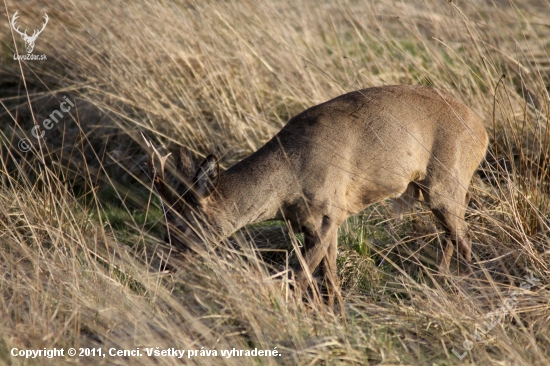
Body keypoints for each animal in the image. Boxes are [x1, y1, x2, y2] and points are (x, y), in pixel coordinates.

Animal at [143, 85, 492, 304]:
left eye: (183, 225)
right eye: (164, 224)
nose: (164, 266)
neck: (285, 181)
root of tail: (483, 130)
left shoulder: (326, 213)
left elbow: (299, 277)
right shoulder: (322, 221)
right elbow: (330, 280)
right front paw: (335, 317)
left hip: (447, 179)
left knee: (464, 236)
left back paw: (467, 288)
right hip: (432, 190)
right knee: (451, 231)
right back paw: (441, 280)